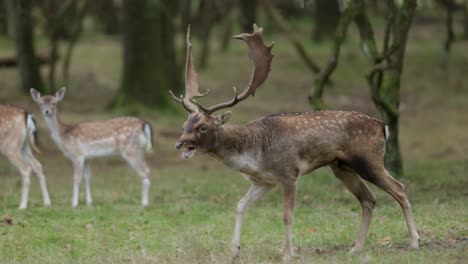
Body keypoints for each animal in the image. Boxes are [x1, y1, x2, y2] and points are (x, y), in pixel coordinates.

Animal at [172, 25, 420, 262]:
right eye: (185, 123)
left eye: (202, 127)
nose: (179, 144)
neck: (255, 153)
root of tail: (382, 125)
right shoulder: (264, 181)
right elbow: (240, 205)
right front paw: (234, 252)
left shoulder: (289, 172)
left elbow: (287, 215)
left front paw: (287, 254)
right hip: (342, 167)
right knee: (369, 199)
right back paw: (356, 249)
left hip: (369, 159)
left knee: (399, 188)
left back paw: (414, 241)